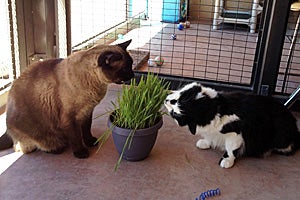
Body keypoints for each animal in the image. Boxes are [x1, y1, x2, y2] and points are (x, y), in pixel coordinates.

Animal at [0, 39, 134, 159]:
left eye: (131, 65)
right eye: (125, 69)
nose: (133, 75)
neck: (97, 85)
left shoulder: (87, 112)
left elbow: (86, 130)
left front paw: (90, 142)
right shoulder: (70, 118)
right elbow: (76, 137)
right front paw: (81, 153)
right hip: (36, 135)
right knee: (25, 147)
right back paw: (55, 149)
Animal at [164, 82, 300, 168]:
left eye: (174, 113)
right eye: (178, 96)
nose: (166, 100)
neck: (215, 108)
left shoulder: (235, 133)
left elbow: (231, 149)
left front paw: (226, 160)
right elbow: (210, 137)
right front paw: (206, 143)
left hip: (281, 138)